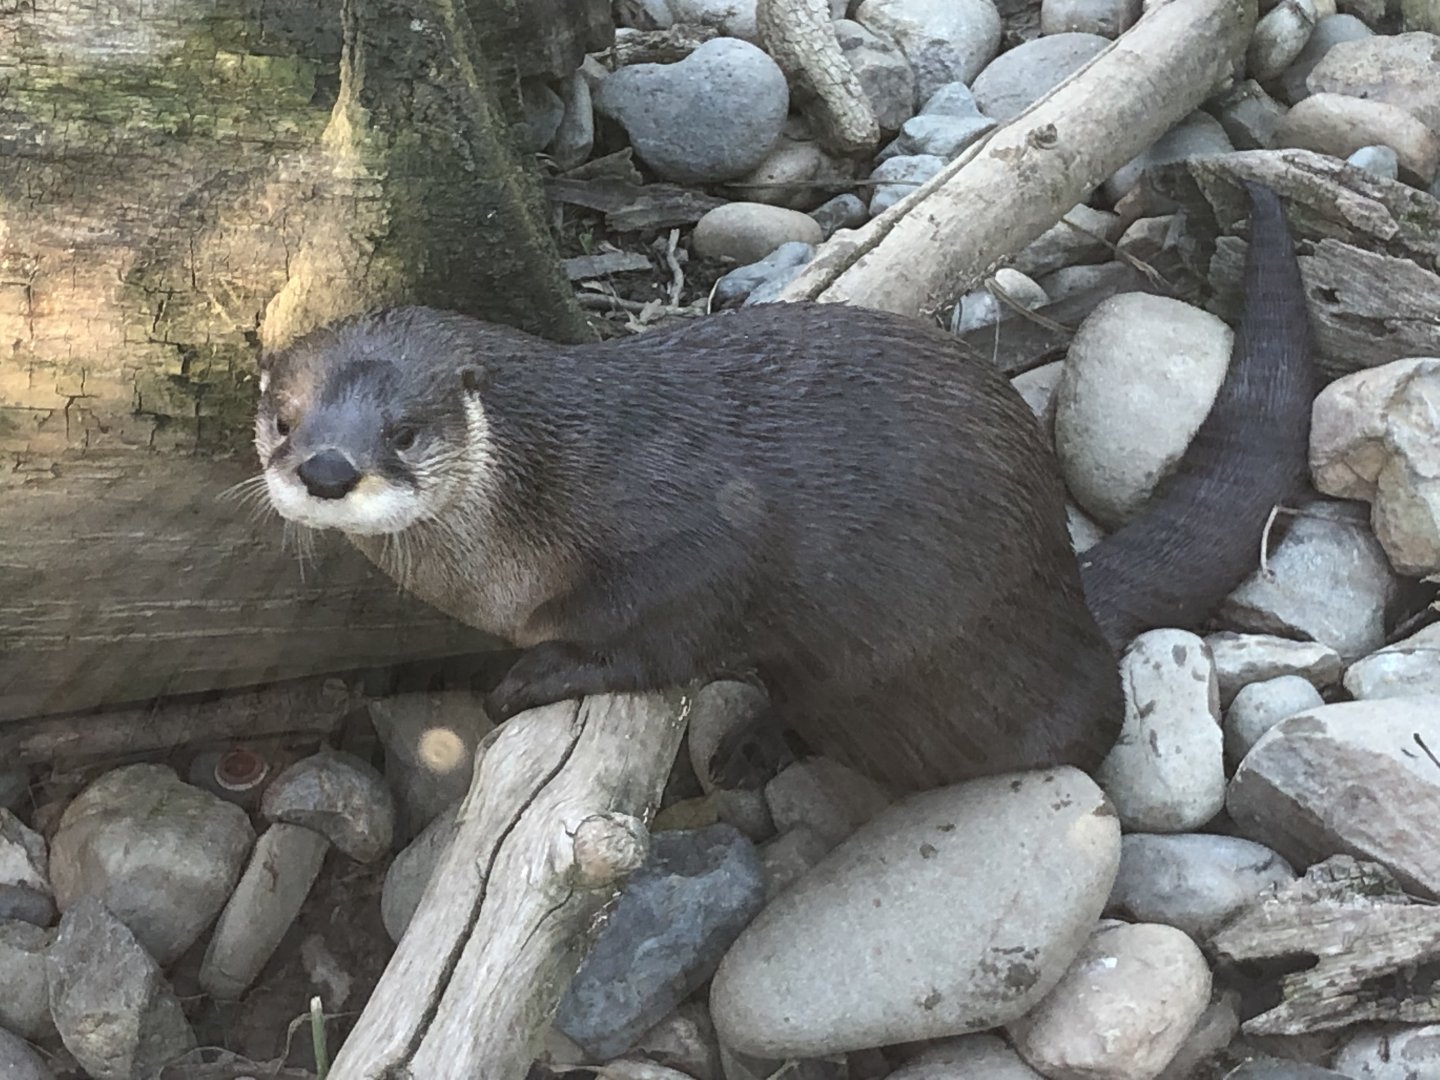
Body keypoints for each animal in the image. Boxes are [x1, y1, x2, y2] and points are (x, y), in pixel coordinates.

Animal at [252, 181, 1312, 792]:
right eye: (284, 418)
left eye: (404, 429)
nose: (328, 467)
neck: (538, 497)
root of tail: (1070, 595)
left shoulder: (687, 529)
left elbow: (668, 625)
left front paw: (540, 674)